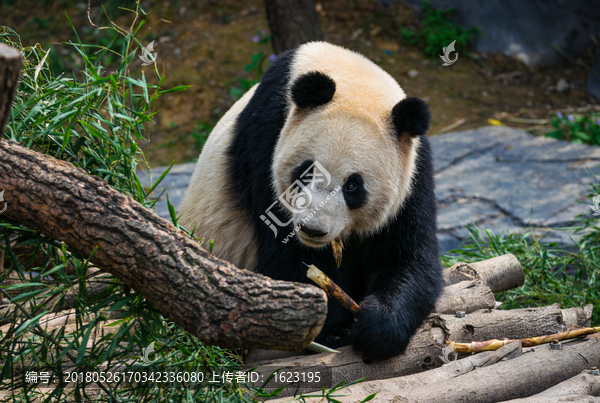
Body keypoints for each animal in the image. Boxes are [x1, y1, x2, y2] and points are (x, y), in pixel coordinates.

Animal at [178, 41, 440, 360]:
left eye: (353, 186)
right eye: (307, 171)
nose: (313, 230)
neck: (351, 77)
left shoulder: (413, 169)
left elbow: (408, 254)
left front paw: (378, 326)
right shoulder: (267, 136)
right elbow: (288, 257)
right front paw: (332, 328)